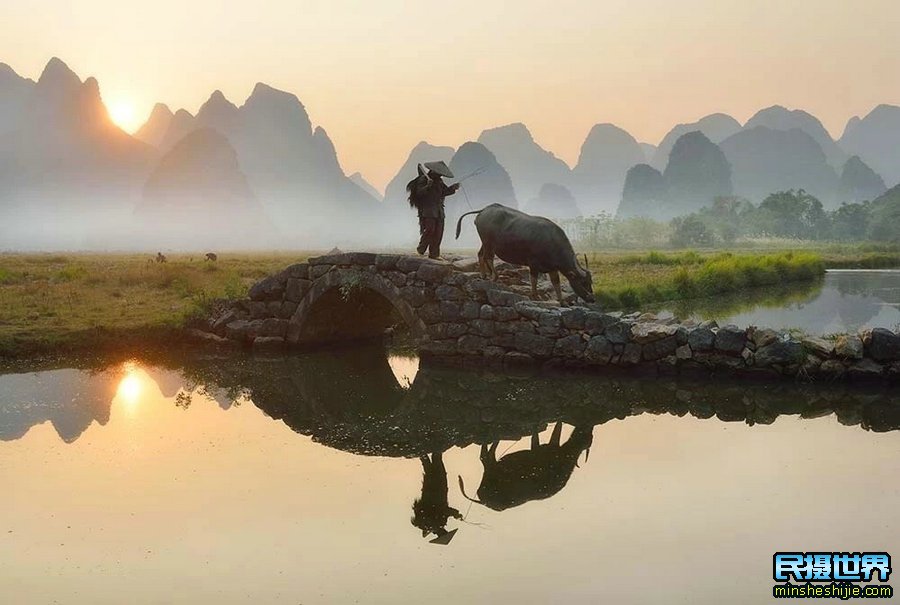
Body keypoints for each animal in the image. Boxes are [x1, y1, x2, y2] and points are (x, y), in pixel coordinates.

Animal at [454, 205, 596, 304]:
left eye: (590, 282)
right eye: (583, 282)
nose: (592, 299)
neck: (551, 241)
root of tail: (485, 209)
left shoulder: (552, 268)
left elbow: (556, 283)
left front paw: (561, 301)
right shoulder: (533, 264)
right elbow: (533, 279)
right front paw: (535, 296)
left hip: (485, 243)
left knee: (481, 255)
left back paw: (484, 275)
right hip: (489, 242)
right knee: (488, 257)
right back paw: (494, 276)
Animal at [460, 422, 596, 512]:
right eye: (589, 438)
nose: (589, 427)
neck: (568, 455)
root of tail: (482, 501)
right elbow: (552, 431)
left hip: (493, 472)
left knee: (486, 457)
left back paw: (494, 440)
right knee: (485, 456)